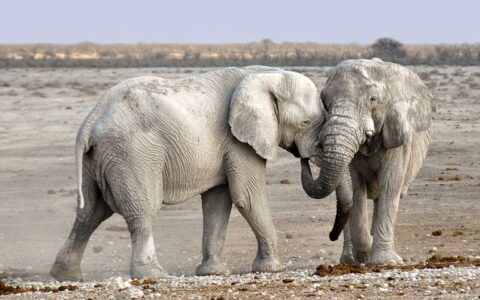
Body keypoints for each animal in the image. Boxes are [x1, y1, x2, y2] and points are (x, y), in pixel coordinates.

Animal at [49, 65, 326, 282]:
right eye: (305, 123)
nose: (305, 157)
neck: (266, 75)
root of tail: (91, 119)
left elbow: (218, 201)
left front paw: (213, 273)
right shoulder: (239, 141)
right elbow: (247, 197)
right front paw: (273, 268)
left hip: (98, 159)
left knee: (90, 212)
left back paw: (65, 276)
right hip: (132, 154)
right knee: (141, 210)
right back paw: (153, 275)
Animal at [300, 58, 436, 264]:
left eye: (373, 100)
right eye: (324, 101)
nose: (305, 157)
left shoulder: (397, 133)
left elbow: (390, 184)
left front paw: (384, 261)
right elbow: (356, 188)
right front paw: (365, 253)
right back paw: (350, 260)